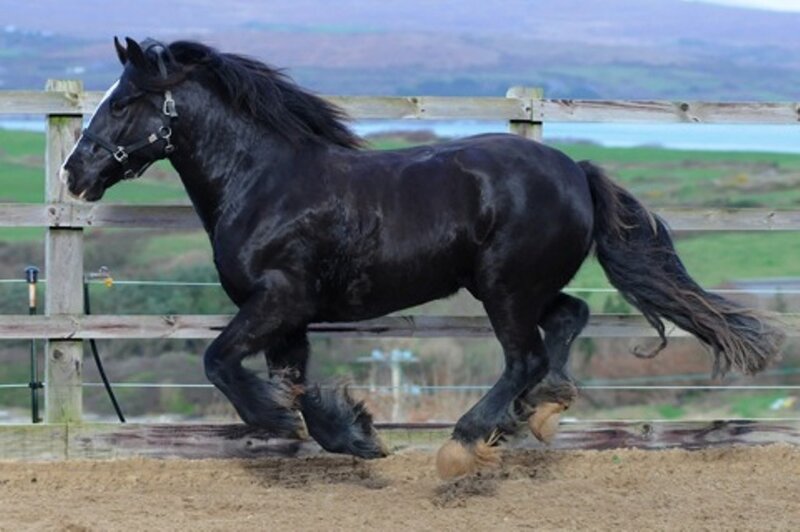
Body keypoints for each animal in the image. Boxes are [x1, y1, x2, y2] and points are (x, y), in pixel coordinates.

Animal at [60, 37, 784, 479]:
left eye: (124, 102)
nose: (74, 172)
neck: (263, 182)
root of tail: (574, 171)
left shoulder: (280, 297)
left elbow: (219, 361)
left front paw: (275, 418)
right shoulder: (288, 315)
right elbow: (296, 383)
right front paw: (356, 434)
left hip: (503, 287)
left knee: (524, 356)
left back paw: (466, 443)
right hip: (519, 284)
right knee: (567, 319)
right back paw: (540, 412)